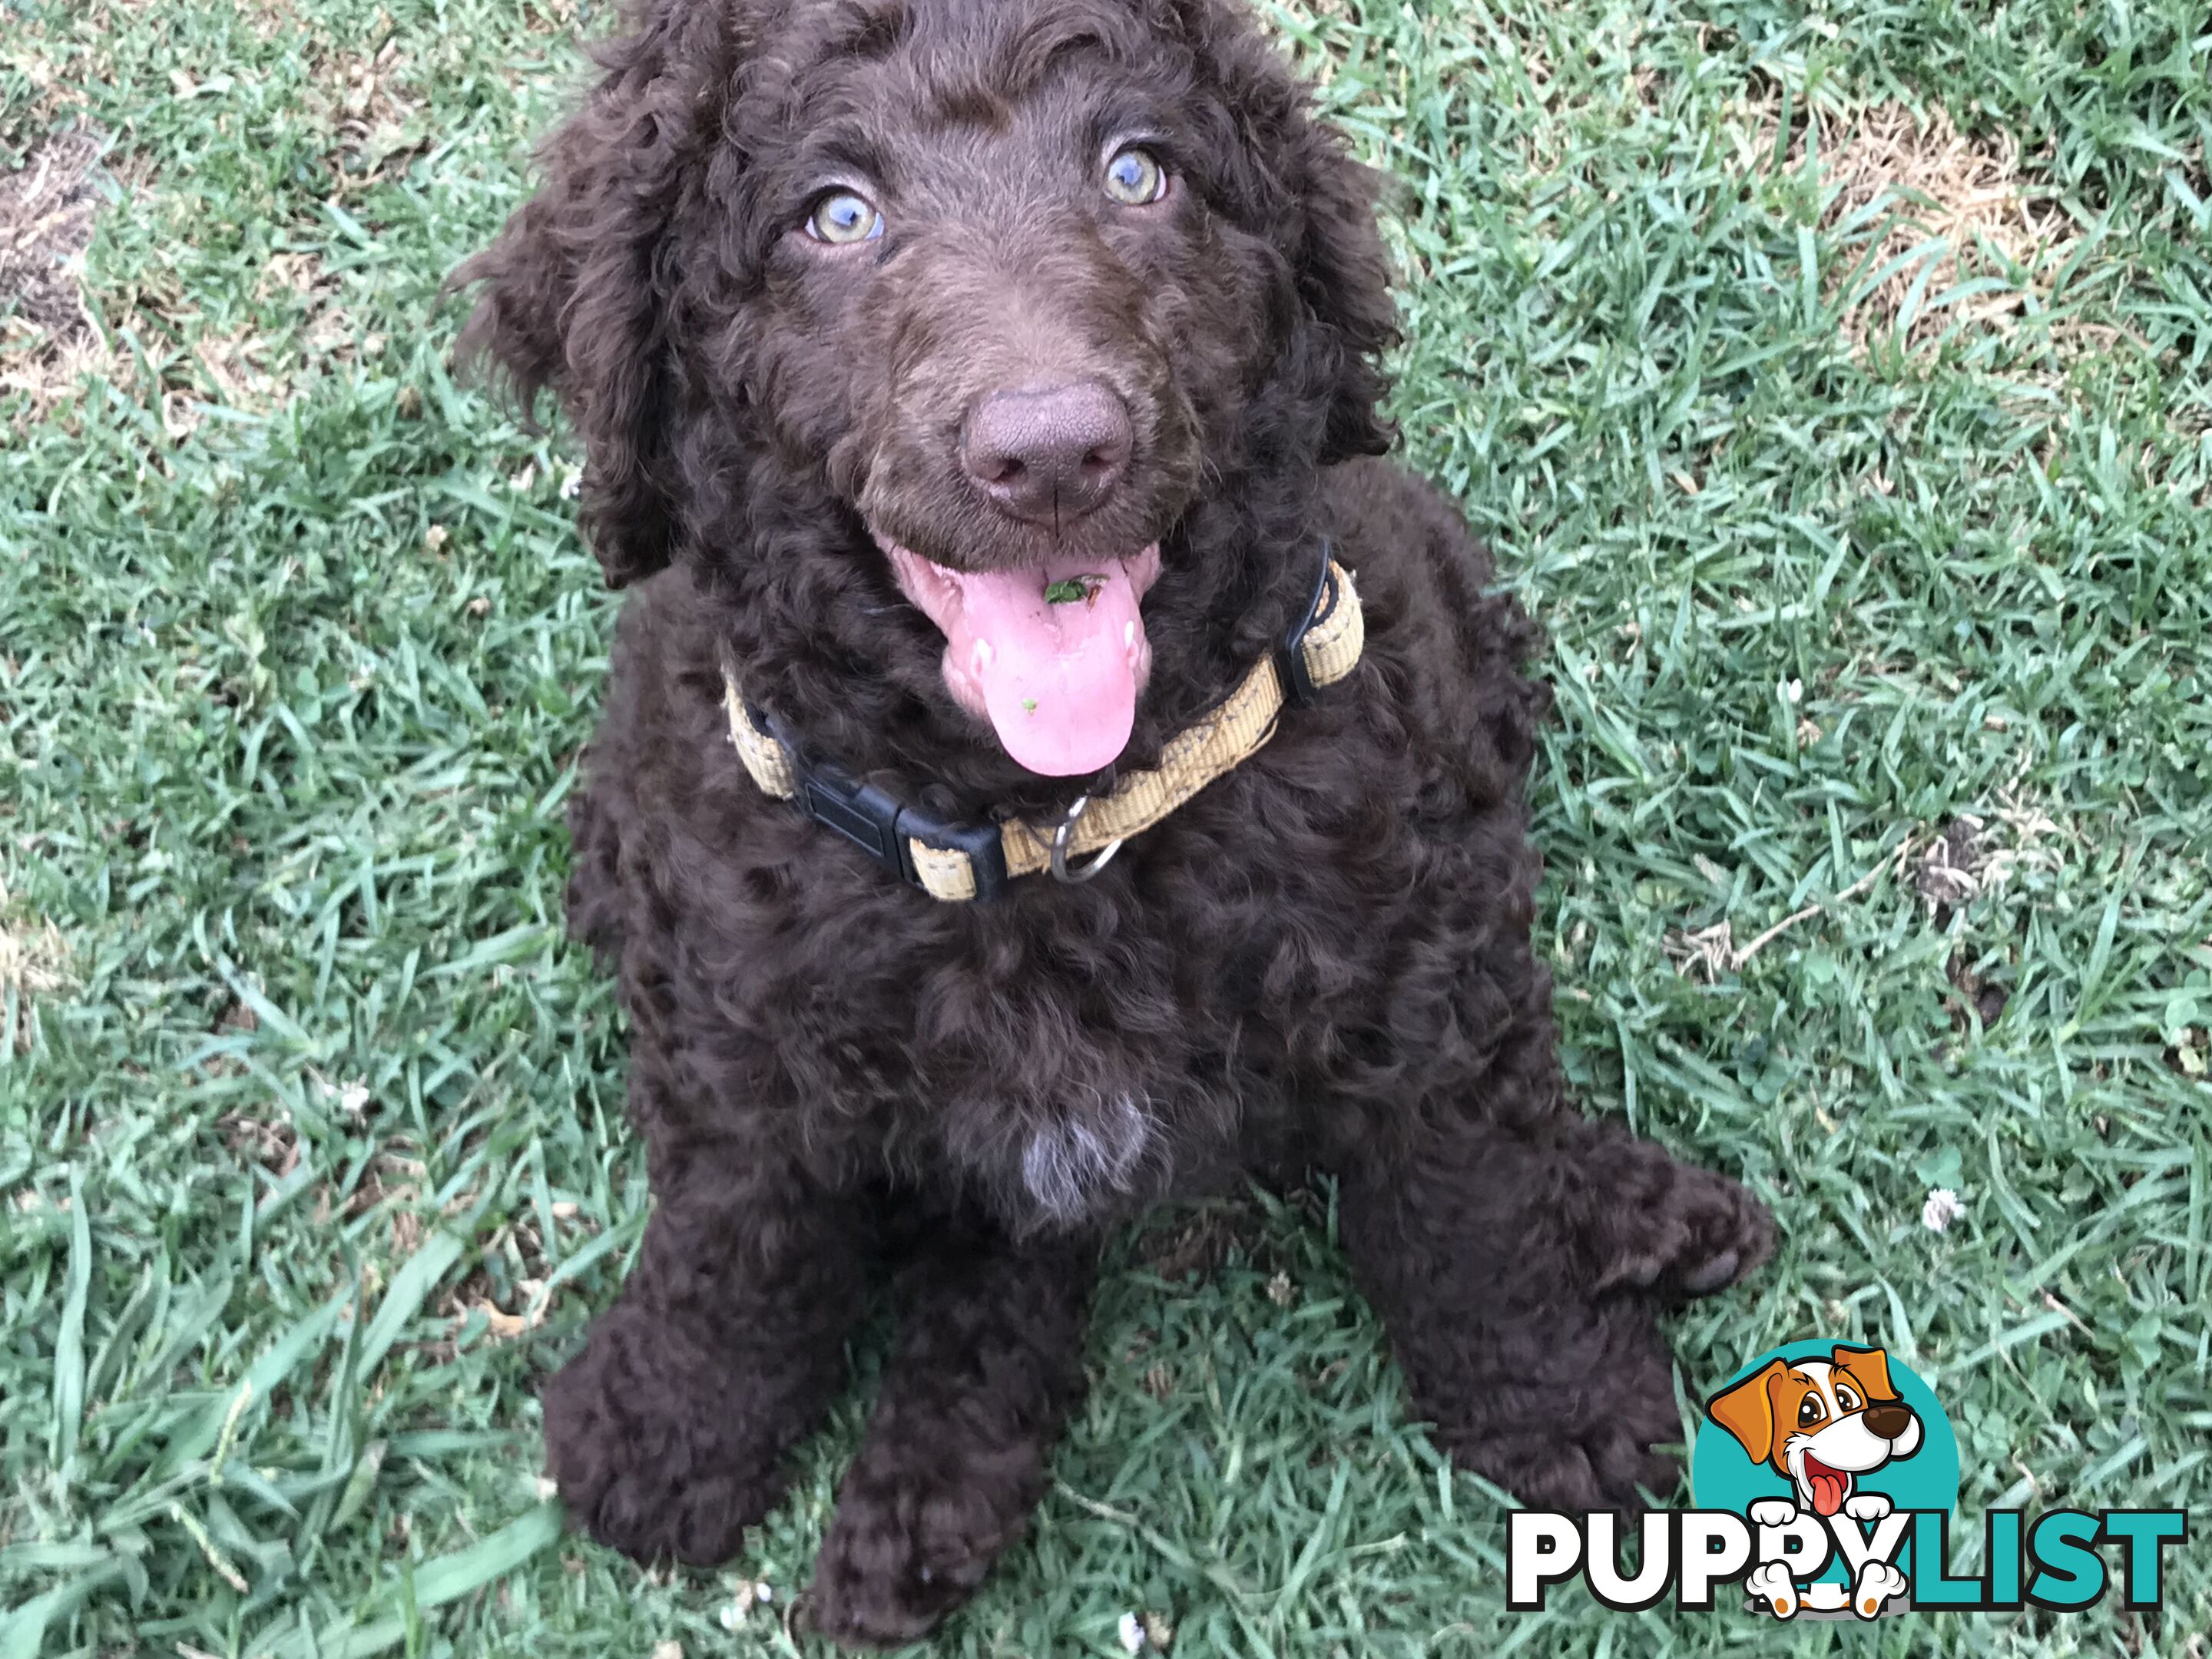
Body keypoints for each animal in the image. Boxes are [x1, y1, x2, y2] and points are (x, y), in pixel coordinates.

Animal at [458, 0, 1770, 1645]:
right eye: (836, 215)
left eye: (1139, 173)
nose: (1053, 452)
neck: (1049, 830)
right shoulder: (737, 1031)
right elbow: (734, 1240)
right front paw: (669, 1424)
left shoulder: (1410, 967)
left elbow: (1470, 1199)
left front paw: (1559, 1394)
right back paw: (927, 1505)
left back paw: (1634, 1204)